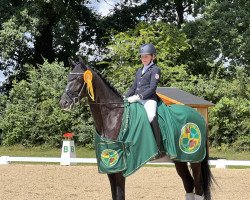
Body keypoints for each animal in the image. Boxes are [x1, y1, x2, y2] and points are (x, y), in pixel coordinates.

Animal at [60, 59, 213, 200]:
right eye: (68, 78)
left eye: (78, 79)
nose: (64, 103)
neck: (113, 115)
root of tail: (199, 116)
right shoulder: (111, 166)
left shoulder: (121, 166)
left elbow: (120, 195)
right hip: (179, 159)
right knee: (188, 183)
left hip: (194, 159)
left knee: (198, 187)